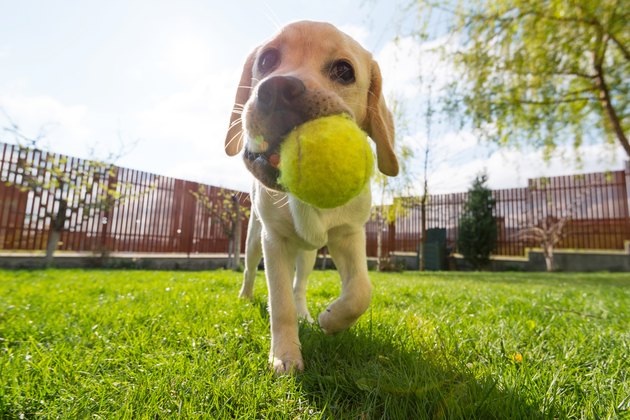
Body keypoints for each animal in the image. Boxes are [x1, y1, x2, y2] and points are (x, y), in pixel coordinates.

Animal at [225, 21, 398, 372]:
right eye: (266, 60)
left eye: (344, 71)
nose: (276, 89)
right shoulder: (274, 242)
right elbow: (280, 305)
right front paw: (285, 357)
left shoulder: (349, 235)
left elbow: (360, 292)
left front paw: (329, 320)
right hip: (253, 238)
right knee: (249, 271)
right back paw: (245, 298)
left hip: (307, 255)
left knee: (299, 286)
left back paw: (306, 313)